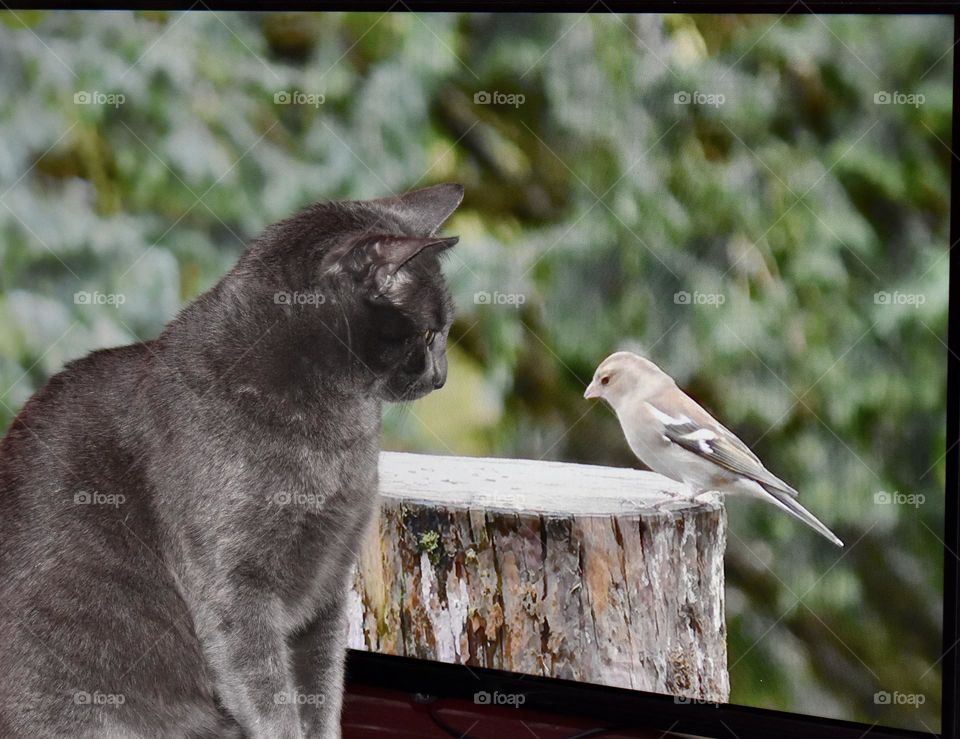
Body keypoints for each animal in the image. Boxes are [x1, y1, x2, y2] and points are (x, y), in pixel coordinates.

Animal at [0, 182, 464, 736]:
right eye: (430, 334)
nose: (442, 376)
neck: (335, 441)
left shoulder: (328, 585)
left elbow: (322, 691)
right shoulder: (234, 588)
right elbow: (271, 699)